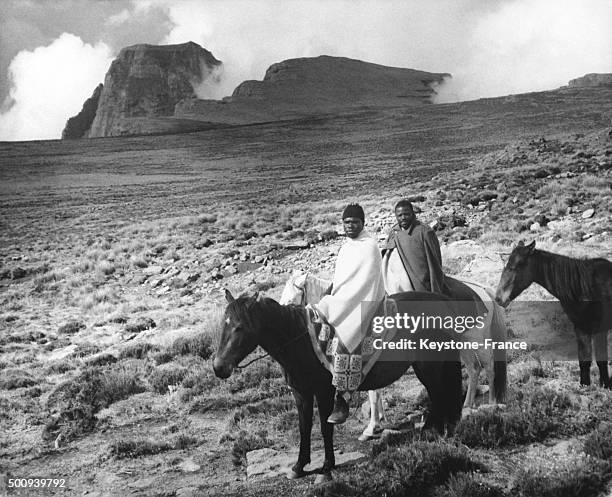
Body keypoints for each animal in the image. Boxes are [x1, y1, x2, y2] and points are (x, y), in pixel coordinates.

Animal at [213, 290, 462, 480]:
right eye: (223, 326)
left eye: (240, 327)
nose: (218, 367)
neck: (299, 339)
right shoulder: (301, 393)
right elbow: (304, 427)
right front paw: (299, 466)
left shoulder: (323, 392)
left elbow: (325, 427)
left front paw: (326, 466)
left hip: (429, 365)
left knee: (439, 395)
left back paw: (437, 433)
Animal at [280, 272, 506, 438]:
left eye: (294, 292)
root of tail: (482, 290)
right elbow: (376, 392)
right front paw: (379, 420)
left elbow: (374, 393)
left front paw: (372, 426)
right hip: (461, 344)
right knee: (474, 369)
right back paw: (467, 405)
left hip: (475, 340)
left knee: (488, 366)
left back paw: (493, 403)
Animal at [494, 240, 608, 388]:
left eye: (515, 266)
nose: (498, 298)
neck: (584, 287)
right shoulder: (581, 327)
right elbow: (584, 361)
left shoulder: (600, 328)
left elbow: (601, 361)